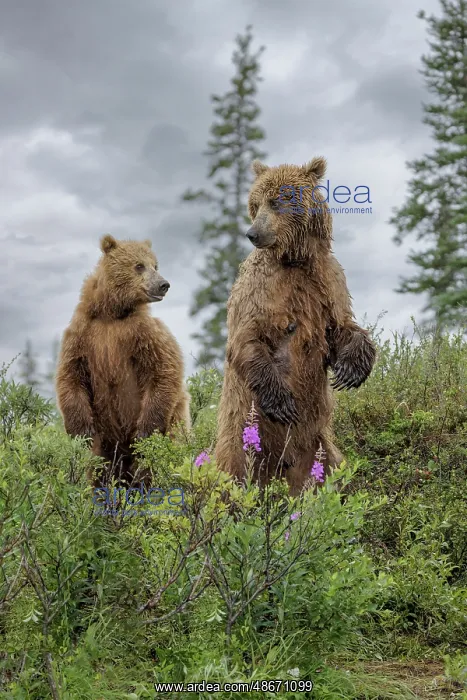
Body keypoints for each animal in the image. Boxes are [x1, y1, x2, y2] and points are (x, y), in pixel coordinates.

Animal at [55, 234, 190, 488]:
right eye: (139, 265)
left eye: (155, 265)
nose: (163, 284)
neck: (112, 312)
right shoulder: (82, 335)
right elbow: (70, 377)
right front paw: (81, 431)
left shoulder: (142, 334)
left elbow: (163, 371)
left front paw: (145, 432)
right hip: (107, 441)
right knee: (99, 467)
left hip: (175, 424)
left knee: (156, 461)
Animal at [215, 157, 376, 496]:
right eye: (255, 204)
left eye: (277, 201)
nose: (253, 233)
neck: (296, 259)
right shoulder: (261, 288)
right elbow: (247, 338)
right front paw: (283, 403)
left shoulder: (328, 281)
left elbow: (342, 327)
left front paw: (351, 369)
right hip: (241, 438)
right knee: (233, 476)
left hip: (319, 447)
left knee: (334, 471)